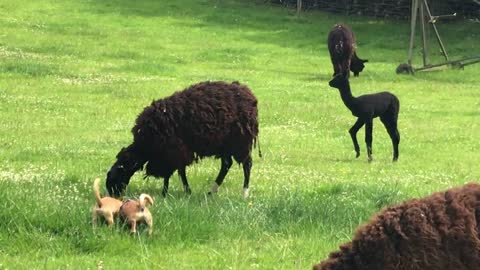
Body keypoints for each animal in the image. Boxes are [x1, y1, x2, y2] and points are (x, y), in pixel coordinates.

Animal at [107, 81, 260, 197]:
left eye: (115, 177)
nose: (114, 196)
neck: (144, 146)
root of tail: (250, 95)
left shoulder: (173, 150)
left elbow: (176, 172)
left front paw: (173, 192)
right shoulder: (171, 152)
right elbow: (176, 171)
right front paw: (176, 191)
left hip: (241, 141)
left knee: (247, 164)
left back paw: (244, 193)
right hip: (225, 144)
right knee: (226, 165)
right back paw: (212, 191)